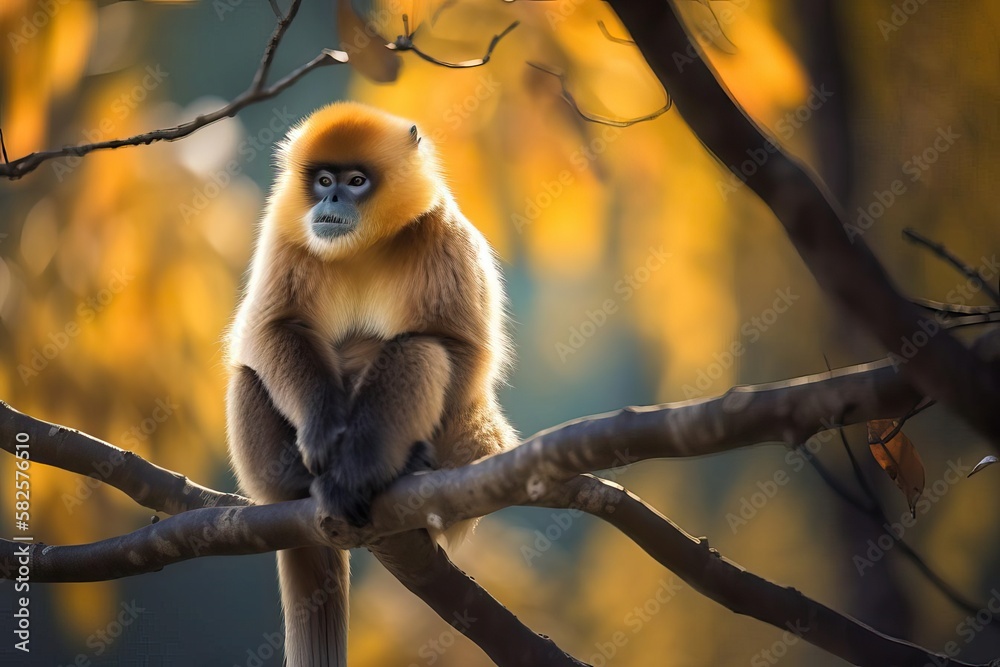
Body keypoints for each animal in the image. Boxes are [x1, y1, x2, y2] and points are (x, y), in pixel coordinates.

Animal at [224, 102, 516, 667]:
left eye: (356, 181)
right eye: (323, 180)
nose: (332, 198)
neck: (362, 246)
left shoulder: (444, 233)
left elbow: (460, 349)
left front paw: (374, 461)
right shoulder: (284, 232)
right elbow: (270, 330)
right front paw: (321, 430)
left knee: (418, 349)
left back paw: (370, 473)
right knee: (249, 373)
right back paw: (301, 481)